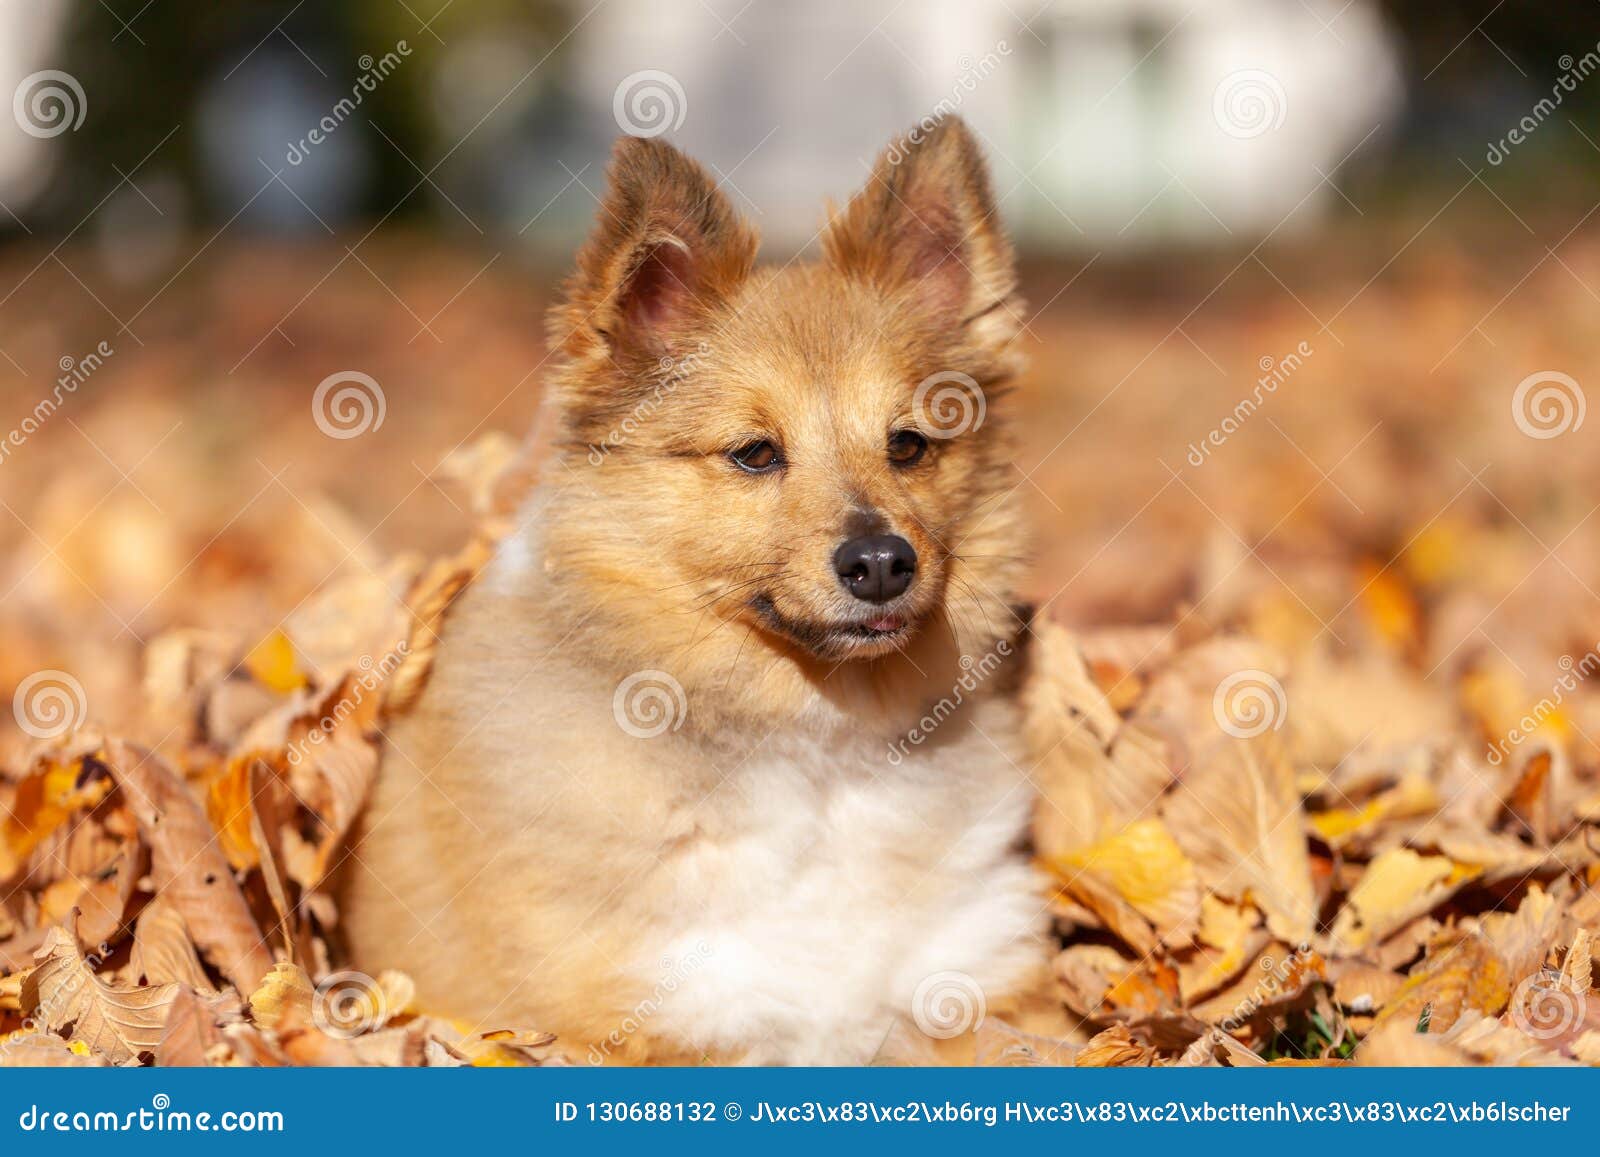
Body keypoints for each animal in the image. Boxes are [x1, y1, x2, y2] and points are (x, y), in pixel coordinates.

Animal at [345, 117, 1056, 1068]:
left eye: (908, 445)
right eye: (754, 453)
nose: (880, 563)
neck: (818, 760)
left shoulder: (972, 984)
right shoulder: (636, 1019)